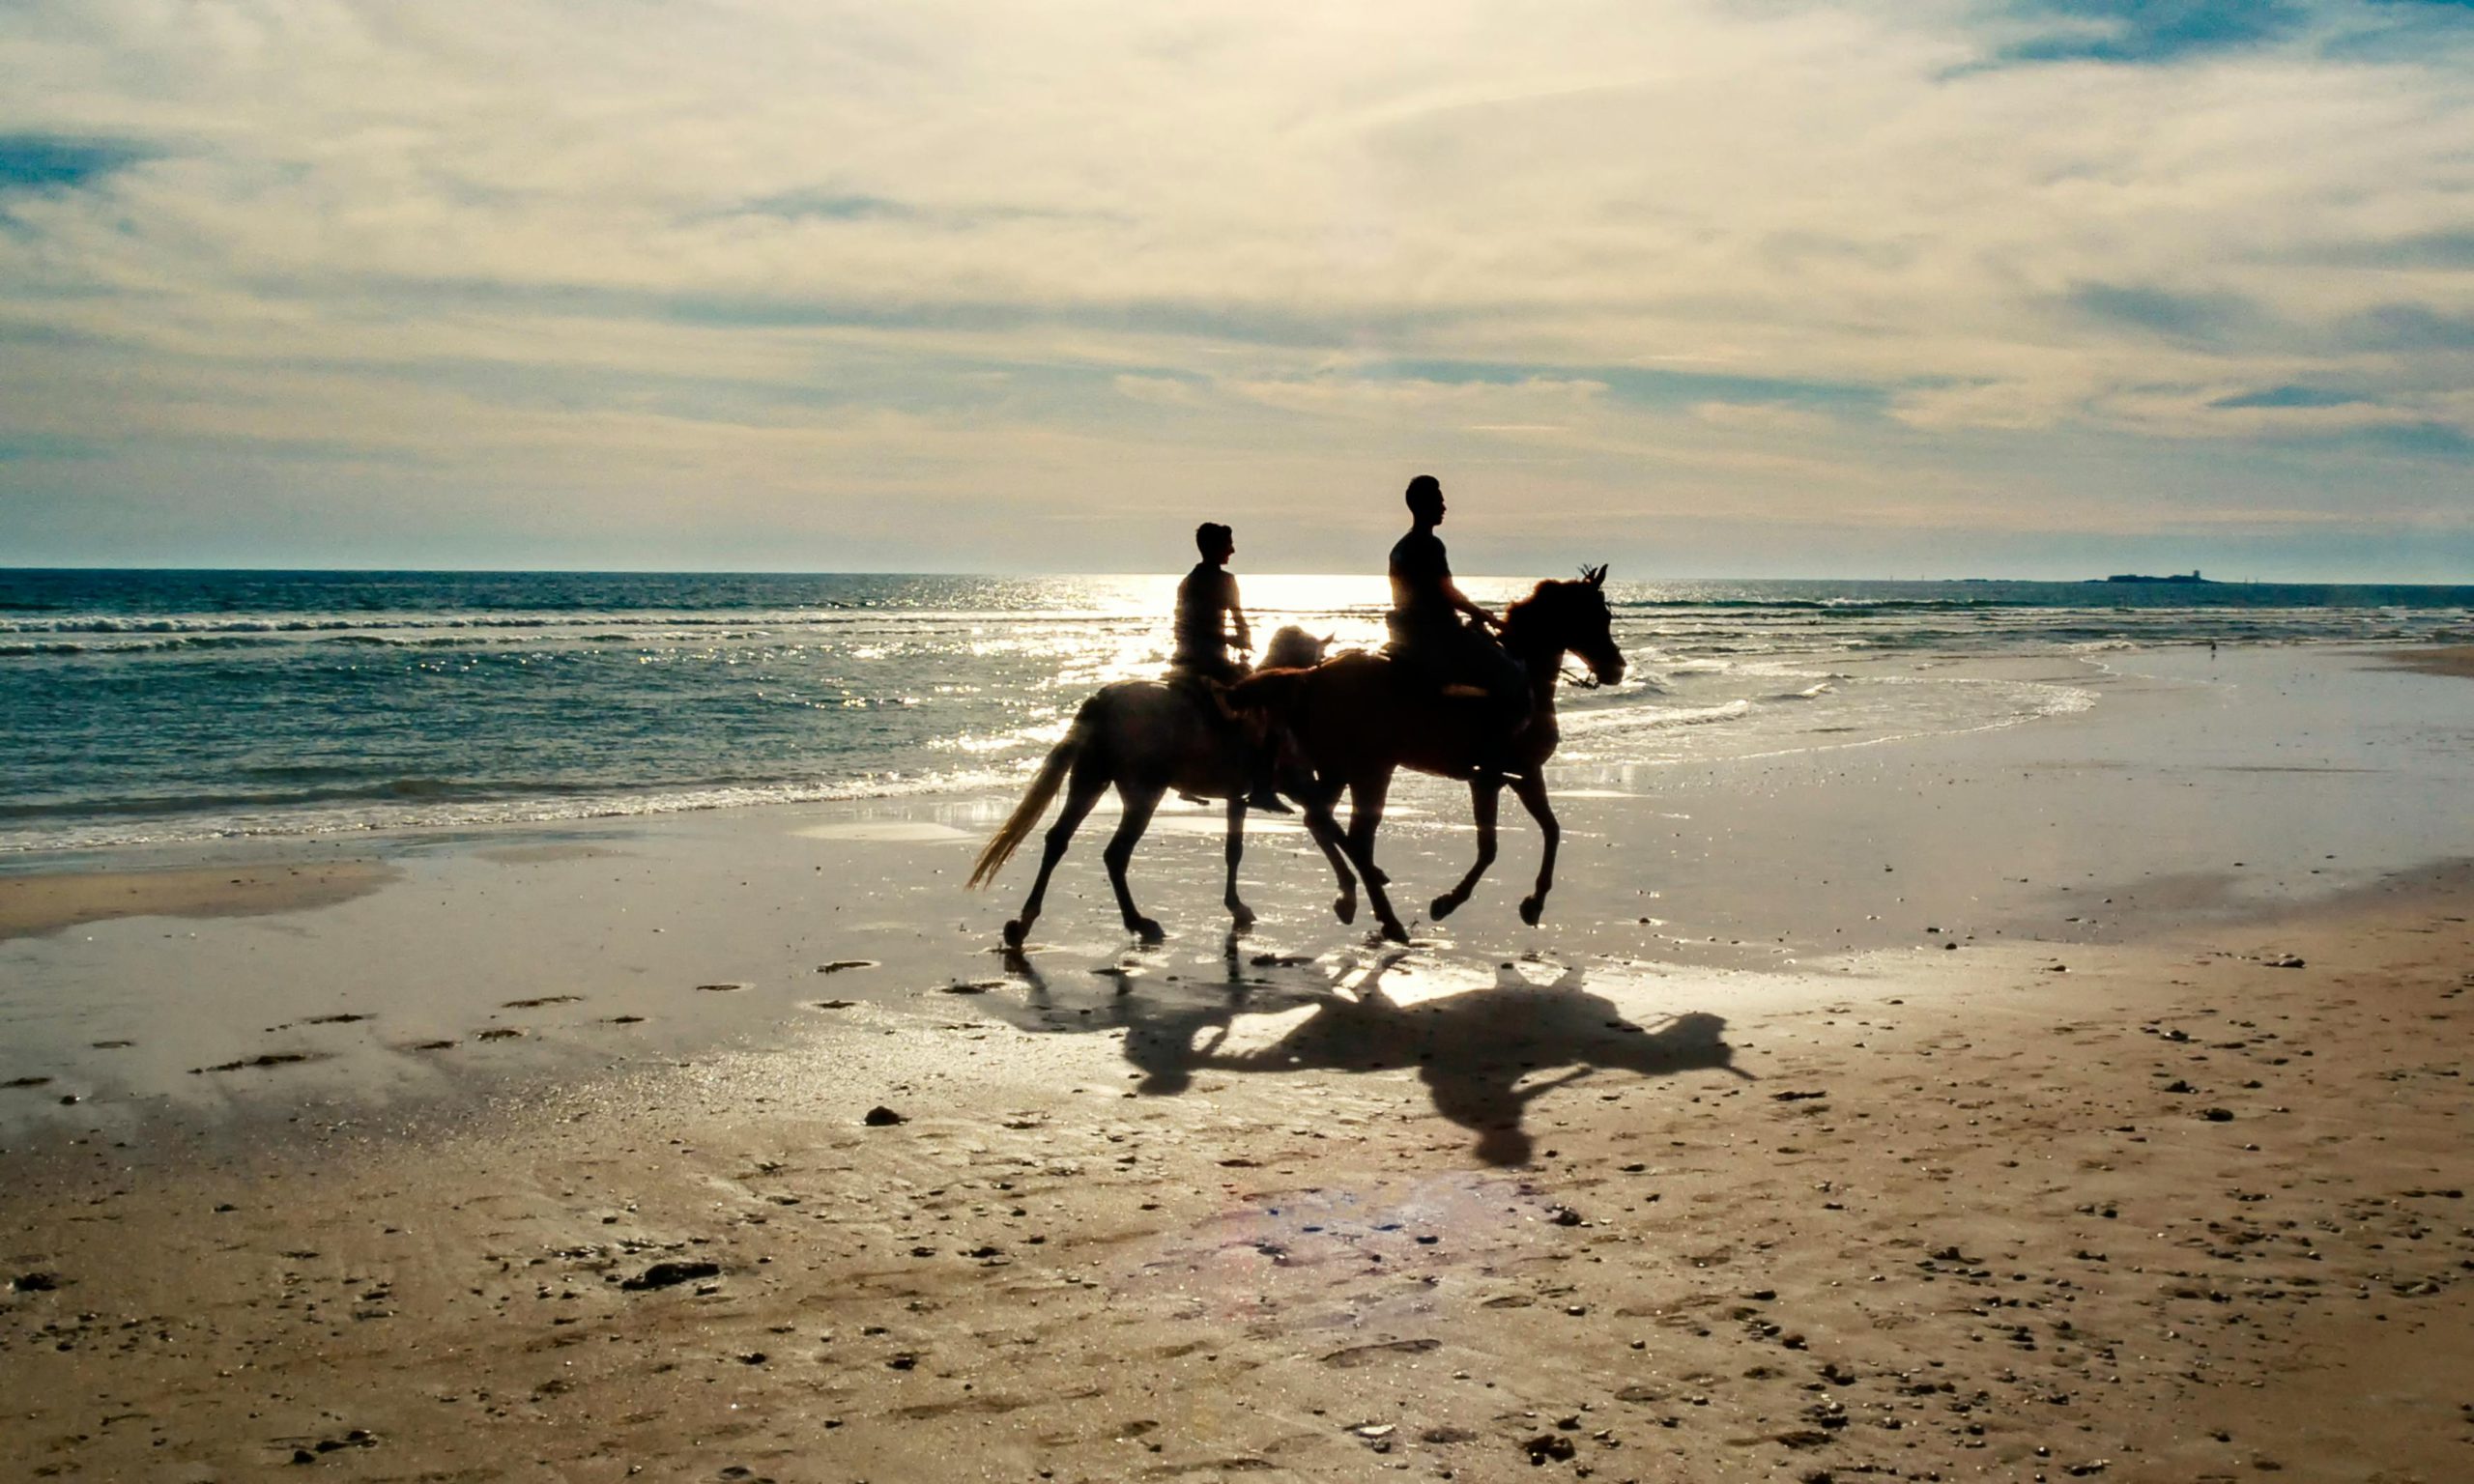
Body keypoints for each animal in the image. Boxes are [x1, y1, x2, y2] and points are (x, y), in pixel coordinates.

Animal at [964, 623, 1336, 944]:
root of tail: (1104, 701)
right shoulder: (1297, 785)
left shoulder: (1236, 797)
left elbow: (1234, 850)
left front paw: (1236, 906)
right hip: (1143, 793)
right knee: (1116, 854)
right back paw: (1137, 921)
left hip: (1090, 781)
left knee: (1058, 840)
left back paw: (1023, 923)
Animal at [1231, 566, 1623, 939]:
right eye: (1595, 616)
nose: (1616, 668)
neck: (1528, 680)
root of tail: (1310, 676)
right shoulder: (1489, 779)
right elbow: (1490, 847)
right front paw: (1448, 902)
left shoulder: (1526, 774)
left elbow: (1552, 830)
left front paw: (1534, 903)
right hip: (1371, 772)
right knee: (1355, 837)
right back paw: (1387, 916)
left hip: (1338, 770)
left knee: (1320, 820)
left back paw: (1351, 898)